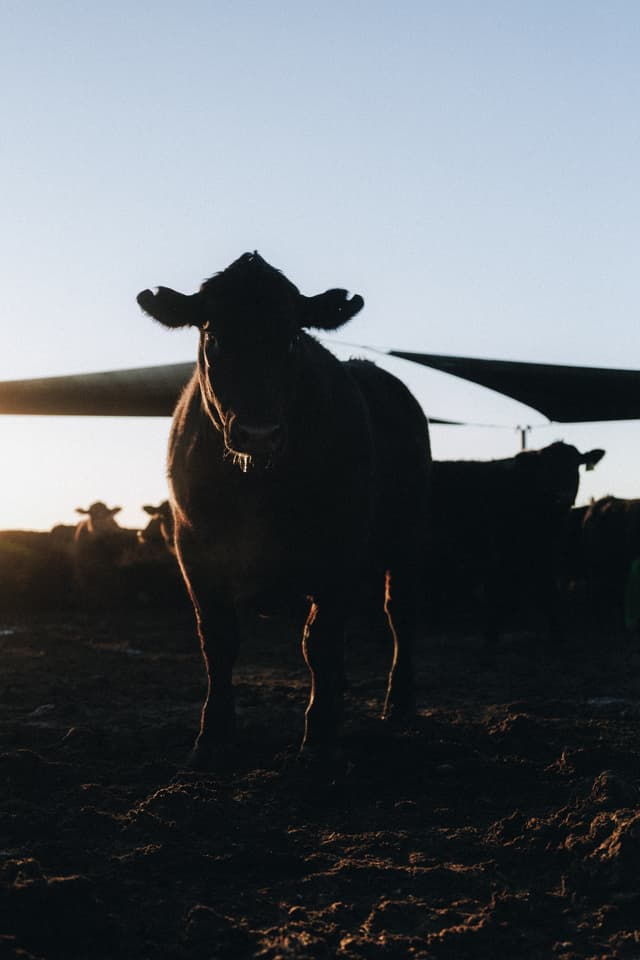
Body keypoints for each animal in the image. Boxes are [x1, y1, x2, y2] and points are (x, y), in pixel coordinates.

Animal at [137, 251, 431, 766]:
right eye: (214, 335)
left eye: (293, 336)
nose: (258, 432)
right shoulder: (194, 548)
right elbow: (218, 640)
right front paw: (214, 735)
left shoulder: (339, 548)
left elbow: (320, 640)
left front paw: (321, 736)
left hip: (406, 539)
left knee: (399, 614)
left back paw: (398, 704)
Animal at [429, 442, 605, 640]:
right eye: (547, 469)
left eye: (575, 467)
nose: (564, 497)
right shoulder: (503, 554)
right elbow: (502, 597)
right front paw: (490, 636)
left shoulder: (543, 555)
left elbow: (548, 596)